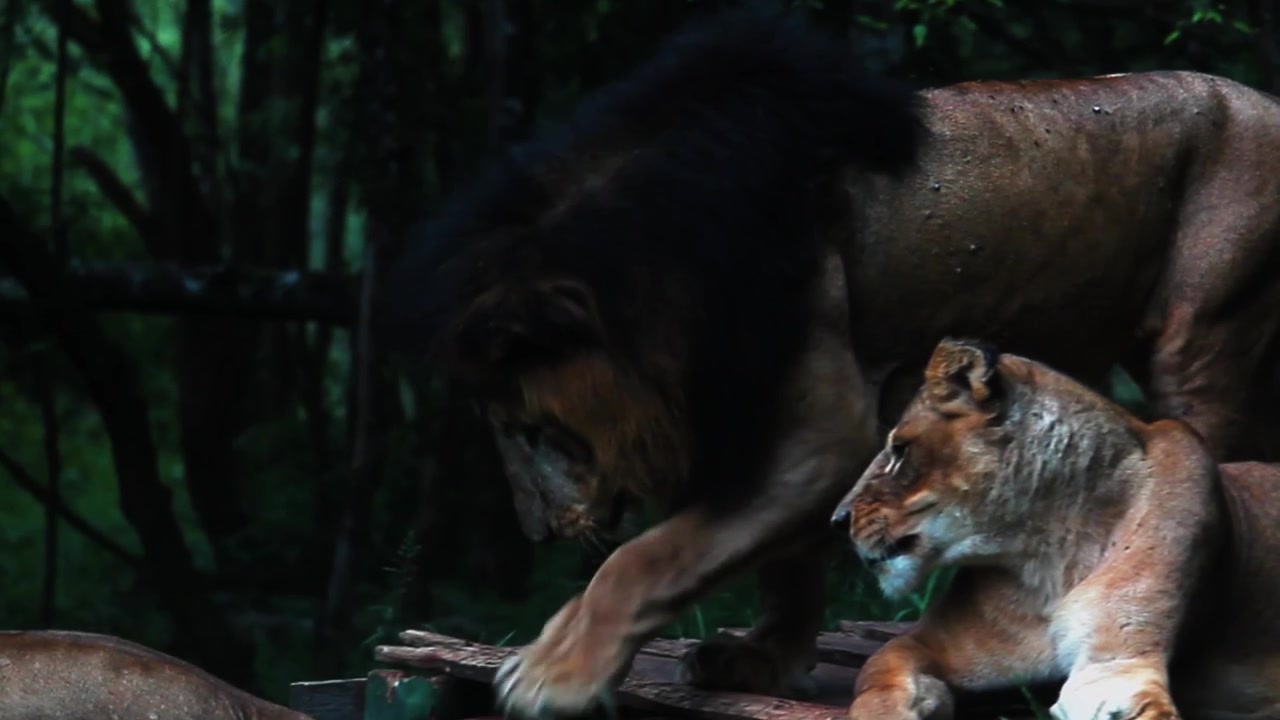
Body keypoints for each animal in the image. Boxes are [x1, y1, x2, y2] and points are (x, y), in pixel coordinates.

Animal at [831, 338, 1280, 720]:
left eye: (899, 450)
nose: (836, 519)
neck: (1049, 556)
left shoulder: (1114, 666)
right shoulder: (921, 643)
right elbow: (877, 679)